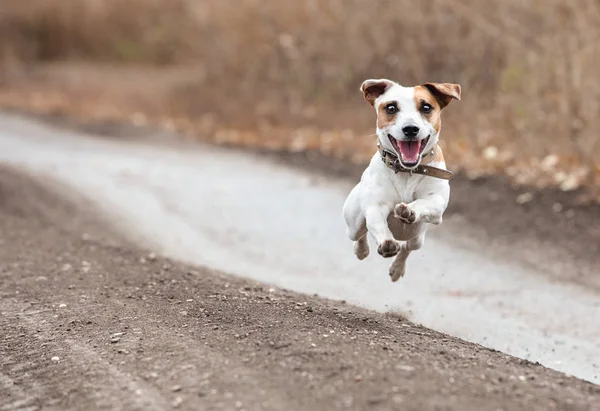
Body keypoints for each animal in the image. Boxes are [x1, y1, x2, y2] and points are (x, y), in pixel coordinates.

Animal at [342, 79, 460, 282]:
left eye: (426, 107)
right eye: (391, 108)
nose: (410, 128)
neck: (406, 170)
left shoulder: (436, 205)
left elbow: (422, 203)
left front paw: (409, 210)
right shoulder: (375, 207)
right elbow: (378, 224)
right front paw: (387, 242)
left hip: (418, 237)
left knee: (407, 247)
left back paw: (397, 268)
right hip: (353, 220)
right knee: (360, 233)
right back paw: (361, 250)